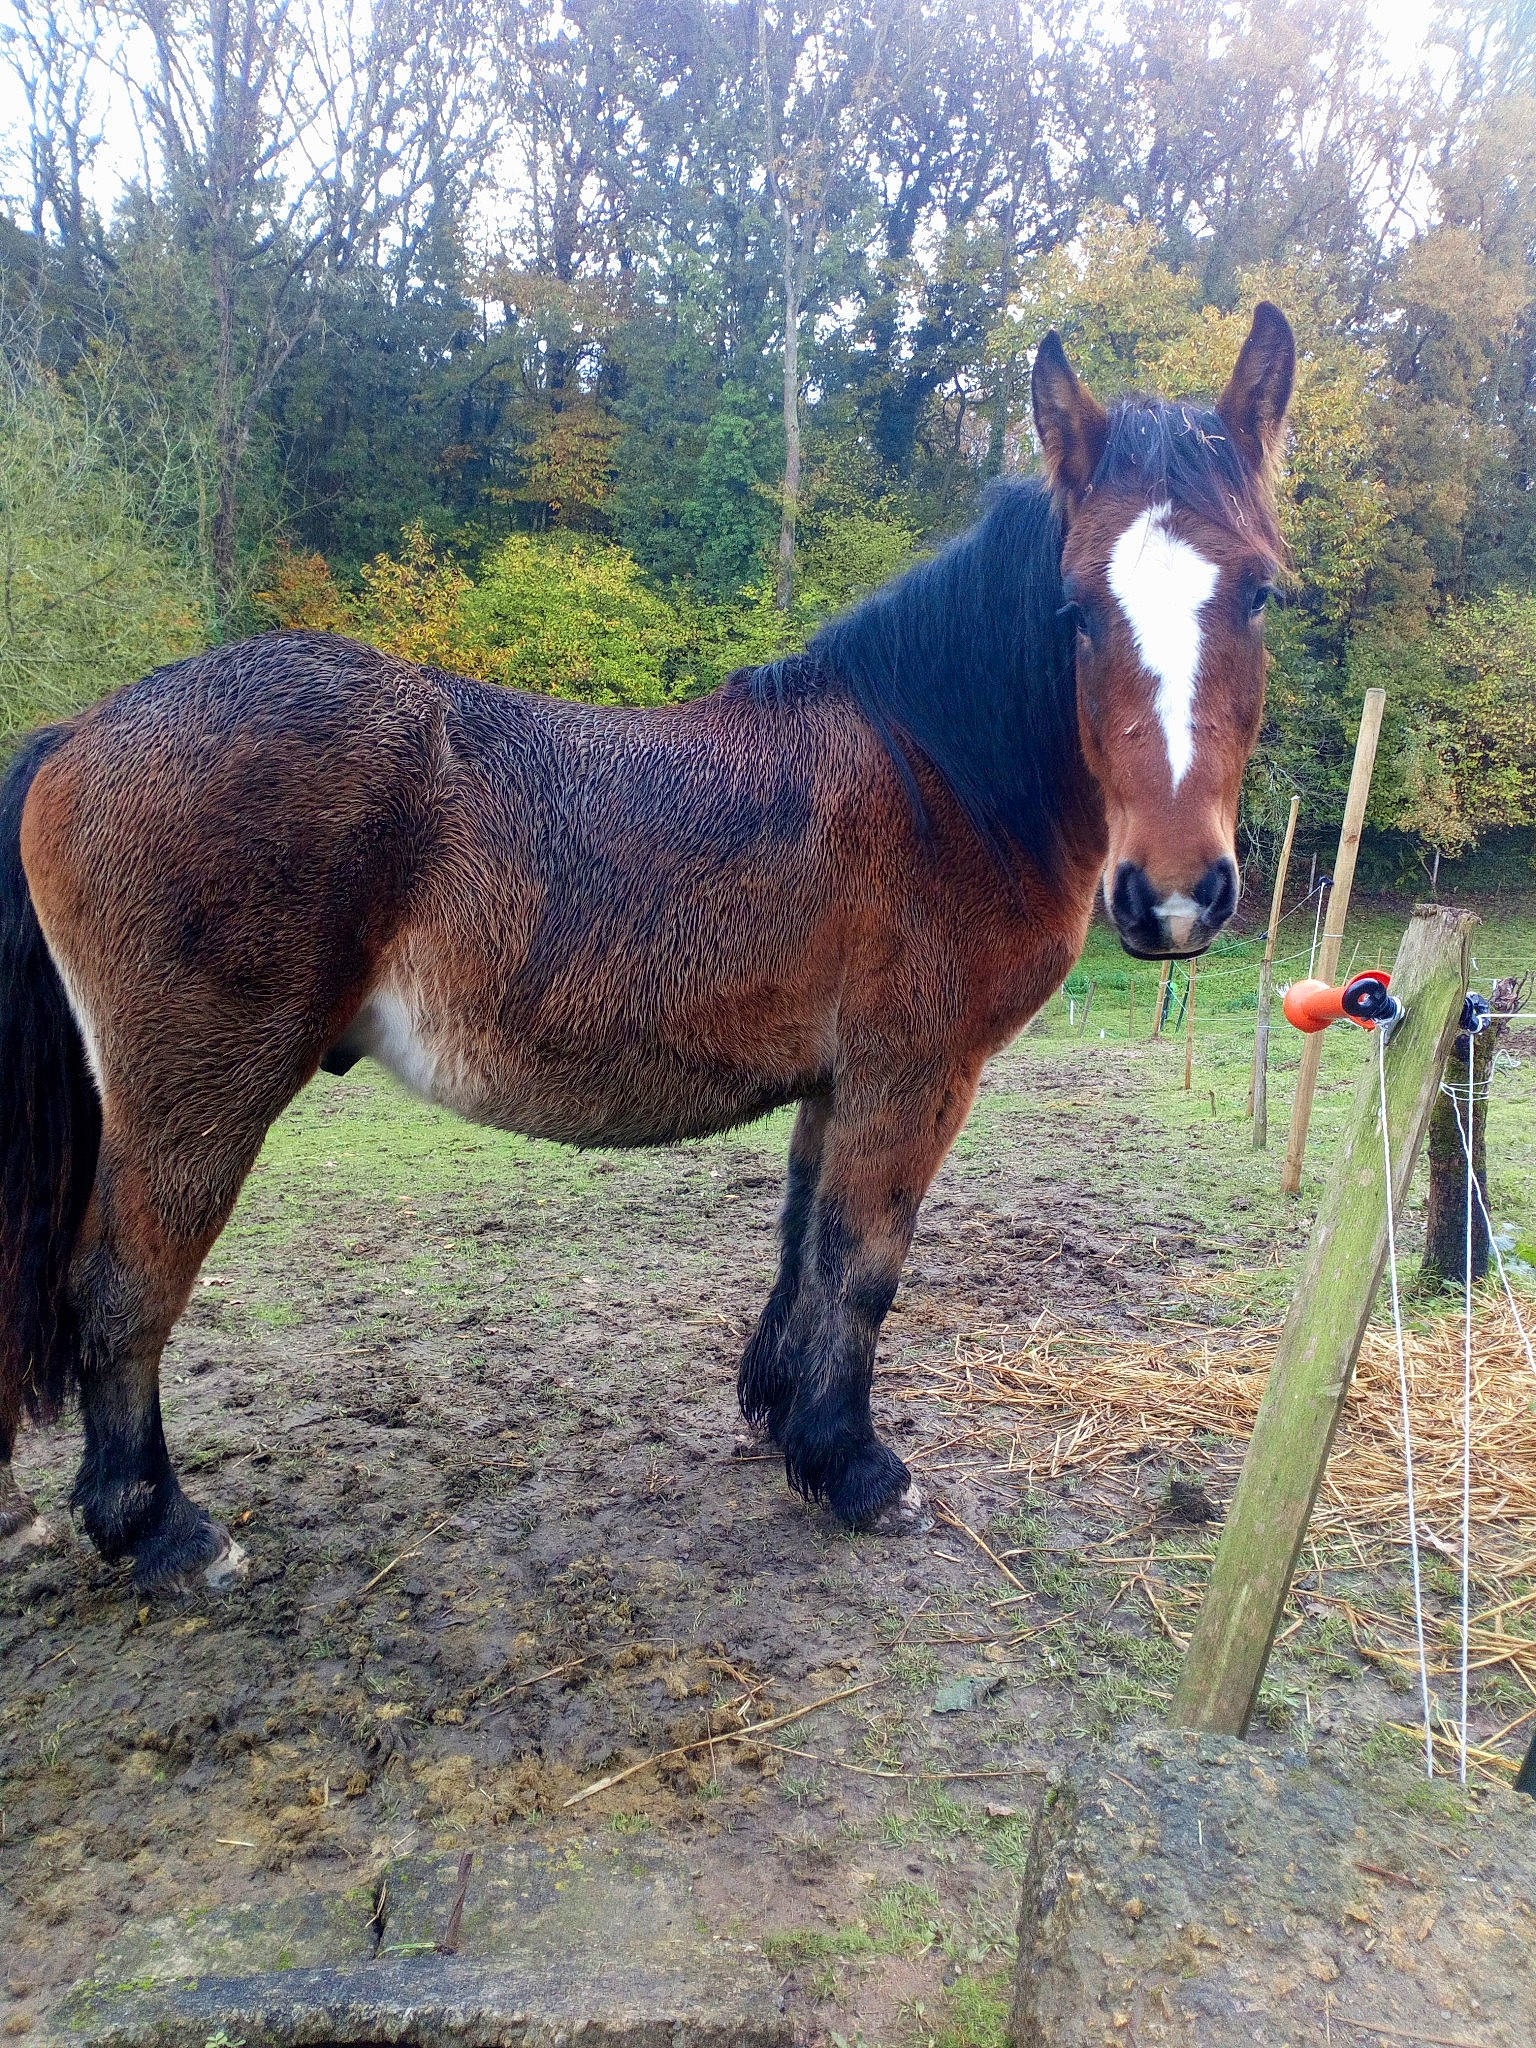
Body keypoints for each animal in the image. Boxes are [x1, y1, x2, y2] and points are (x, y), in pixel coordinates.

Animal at [0, 306, 1293, 1590]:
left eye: (1261, 594)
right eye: (1076, 607)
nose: (1176, 898)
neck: (938, 776)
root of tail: (82, 729)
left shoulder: (837, 1083)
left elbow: (803, 1246)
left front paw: (786, 1424)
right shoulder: (913, 1076)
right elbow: (864, 1264)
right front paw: (860, 1471)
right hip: (195, 1098)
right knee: (122, 1289)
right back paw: (160, 1528)